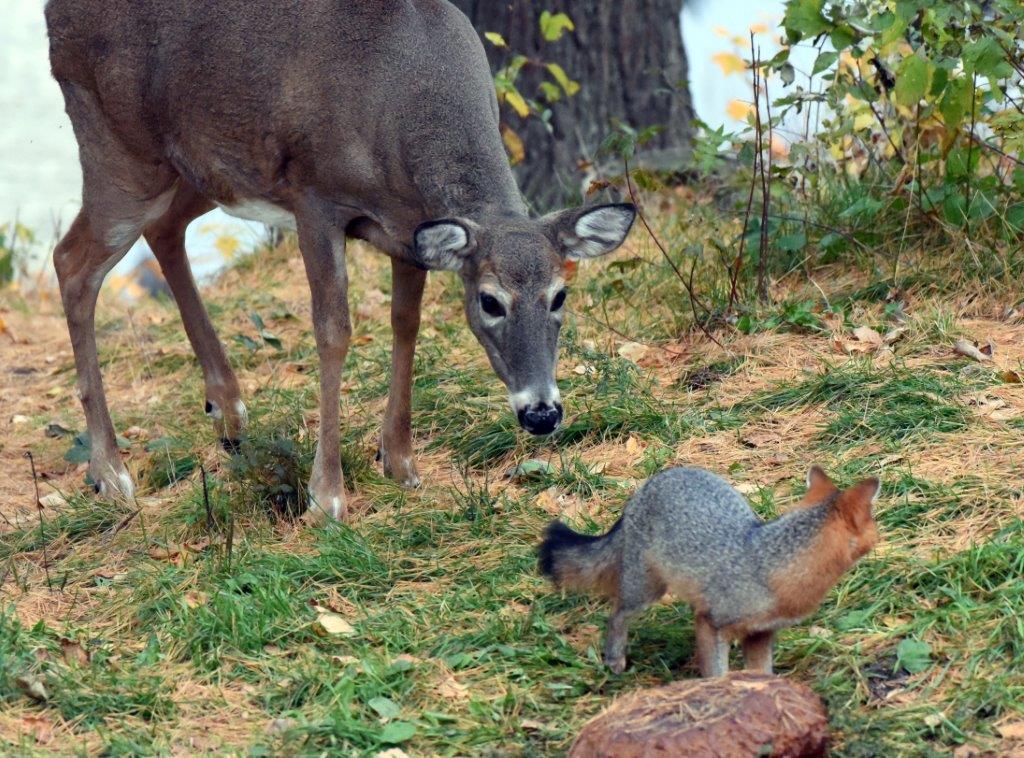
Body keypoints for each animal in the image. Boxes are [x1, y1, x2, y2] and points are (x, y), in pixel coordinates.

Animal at [45, 0, 635, 521]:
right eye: (490, 302)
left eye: (560, 295)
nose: (542, 413)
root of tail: (54, 11)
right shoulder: (315, 199)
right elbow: (334, 330)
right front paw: (326, 496)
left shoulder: (408, 230)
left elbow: (406, 323)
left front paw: (399, 462)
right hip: (117, 147)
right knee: (72, 261)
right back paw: (110, 472)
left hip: (194, 168)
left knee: (164, 229)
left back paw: (228, 413)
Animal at [538, 465, 880, 677]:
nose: (883, 537)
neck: (771, 563)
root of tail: (653, 482)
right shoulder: (712, 623)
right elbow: (717, 674)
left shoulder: (760, 633)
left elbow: (762, 675)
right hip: (645, 592)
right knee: (616, 616)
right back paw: (615, 659)